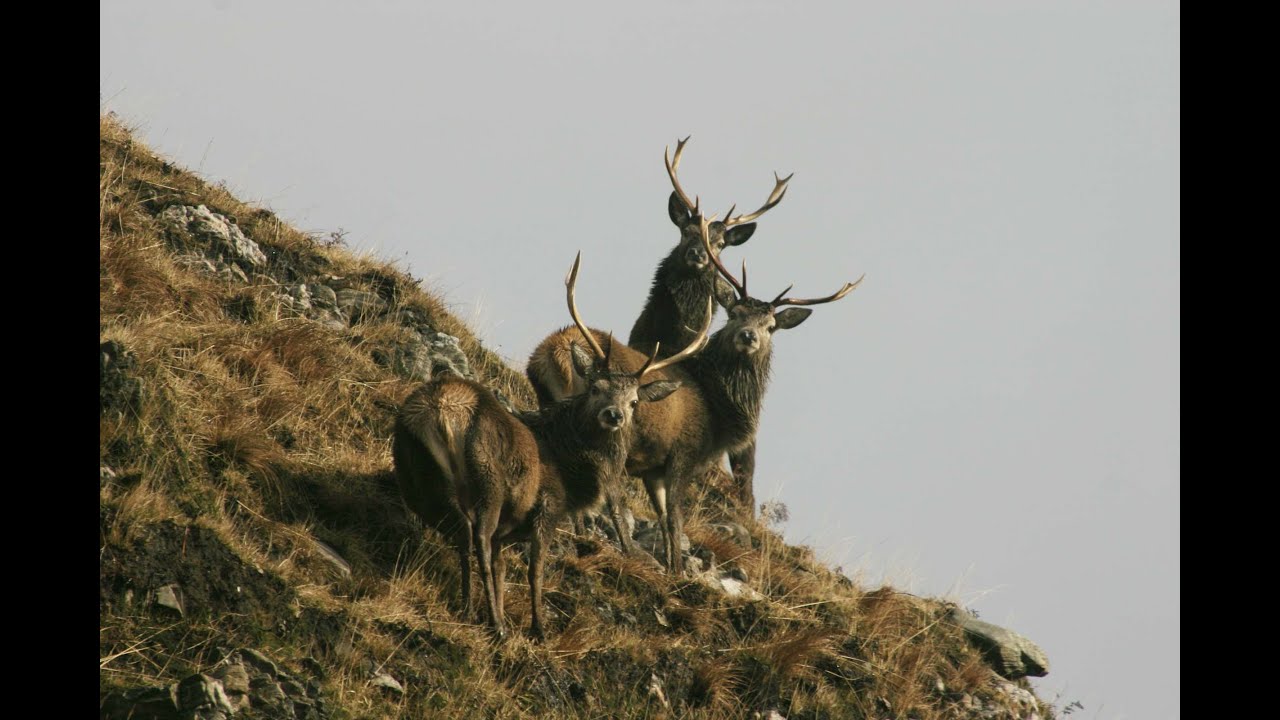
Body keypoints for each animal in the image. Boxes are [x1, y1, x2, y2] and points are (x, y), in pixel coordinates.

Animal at [392, 254, 704, 639]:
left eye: (634, 402)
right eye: (596, 387)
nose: (614, 415)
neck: (569, 464)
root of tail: (443, 410)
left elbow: (501, 569)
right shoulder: (548, 506)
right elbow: (534, 570)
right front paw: (538, 627)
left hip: (419, 476)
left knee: (461, 538)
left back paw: (468, 610)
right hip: (489, 484)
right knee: (477, 538)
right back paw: (497, 626)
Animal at [526, 216, 862, 574]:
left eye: (770, 326)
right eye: (734, 313)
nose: (748, 336)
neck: (718, 409)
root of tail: (557, 352)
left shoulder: (654, 468)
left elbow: (663, 517)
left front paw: (672, 564)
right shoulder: (683, 454)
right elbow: (675, 518)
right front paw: (677, 571)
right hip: (612, 437)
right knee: (611, 493)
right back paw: (619, 548)